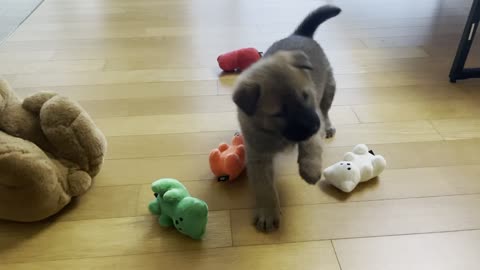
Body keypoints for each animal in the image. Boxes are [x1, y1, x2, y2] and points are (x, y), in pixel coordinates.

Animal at [232, 5, 342, 232]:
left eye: (306, 96)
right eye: (279, 113)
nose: (314, 125)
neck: (276, 133)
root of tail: (301, 34)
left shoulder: (313, 115)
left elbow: (311, 145)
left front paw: (310, 169)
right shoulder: (258, 156)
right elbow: (264, 187)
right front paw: (268, 213)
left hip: (329, 89)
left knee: (326, 111)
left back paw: (327, 126)